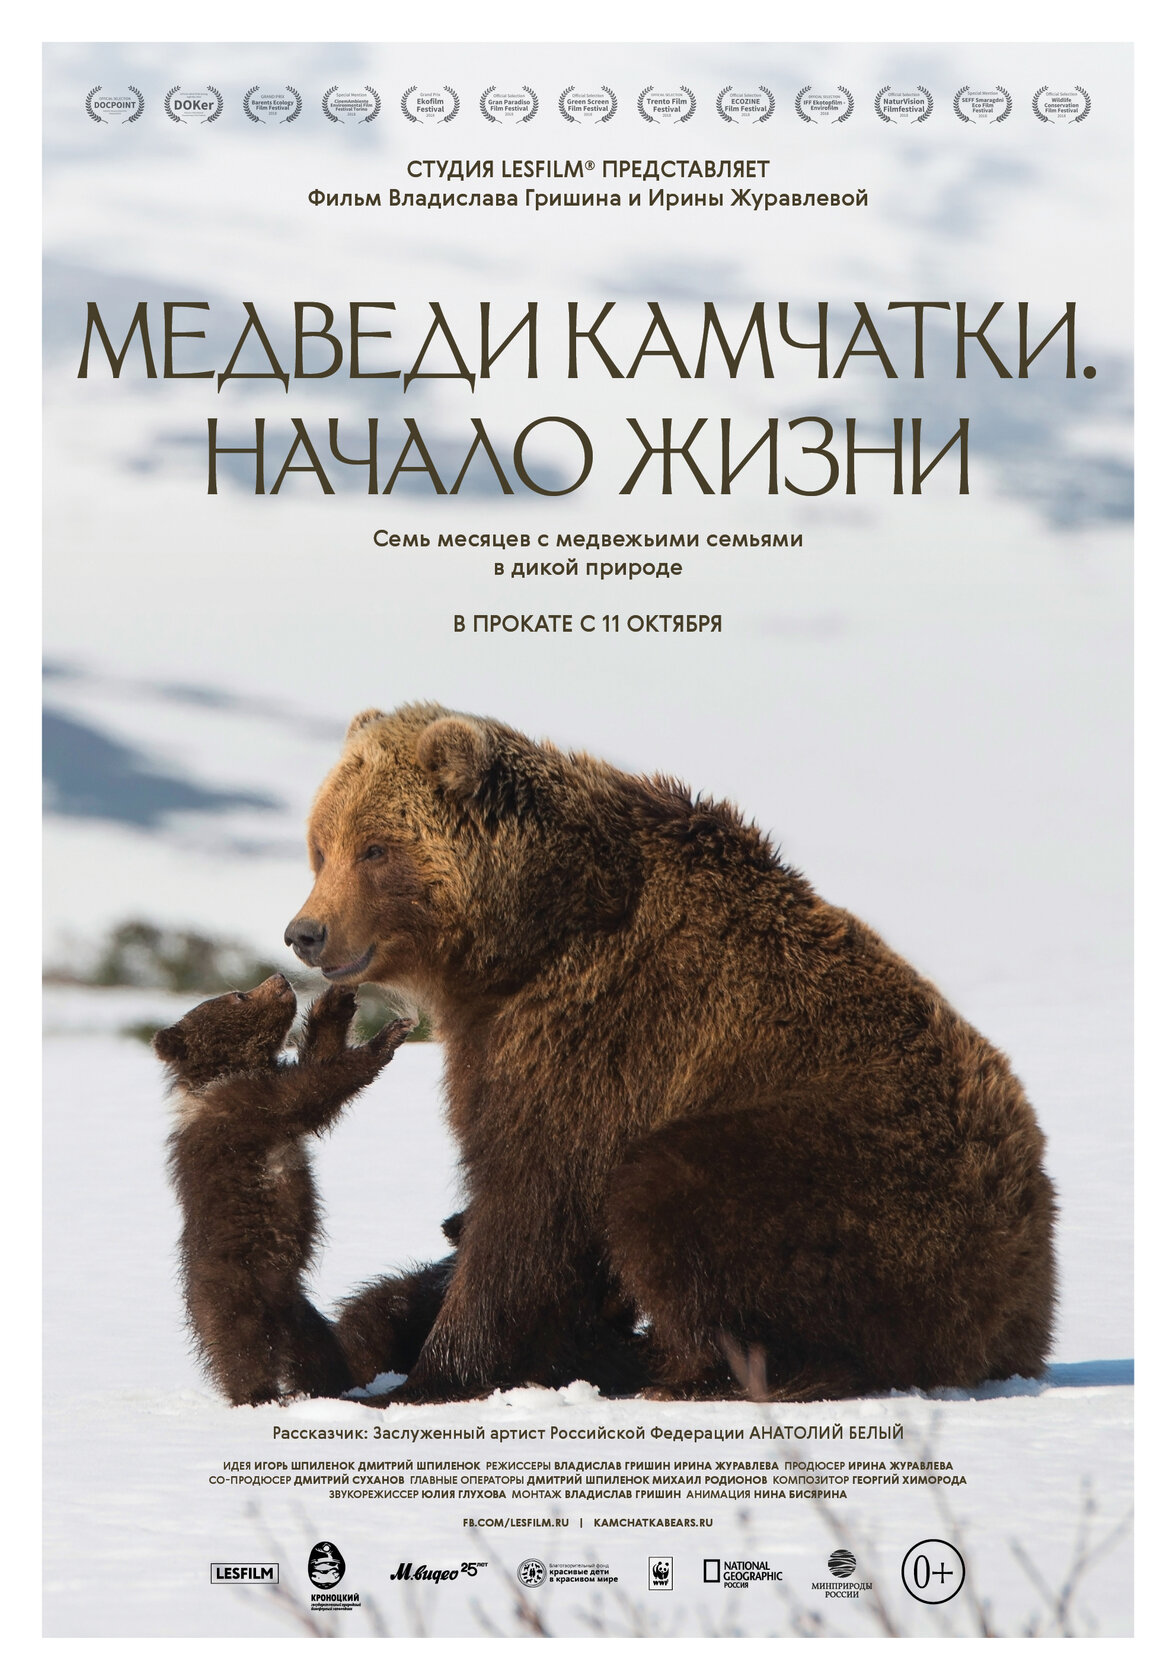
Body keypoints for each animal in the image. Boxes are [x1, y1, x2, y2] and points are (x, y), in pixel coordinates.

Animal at [155, 975, 414, 1404]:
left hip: (296, 1309)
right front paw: (387, 1036)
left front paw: (337, 1000)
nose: (280, 979)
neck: (225, 1074)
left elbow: (317, 1059)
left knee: (316, 1348)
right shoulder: (249, 1109)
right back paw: (257, 1394)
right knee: (242, 1348)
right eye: (238, 995)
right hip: (234, 1287)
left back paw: (333, 1386)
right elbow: (313, 1089)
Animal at [283, 703, 1057, 1404]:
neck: (521, 939)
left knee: (668, 1195)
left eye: (375, 848)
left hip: (864, 1175)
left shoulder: (594, 1034)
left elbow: (530, 1203)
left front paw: (426, 1376)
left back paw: (692, 1373)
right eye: (321, 845)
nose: (305, 933)